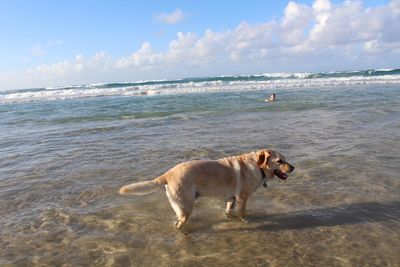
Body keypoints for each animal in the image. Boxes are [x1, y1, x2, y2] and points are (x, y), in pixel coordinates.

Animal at [119, 150, 294, 229]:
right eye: (280, 161)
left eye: (285, 159)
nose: (293, 167)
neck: (258, 167)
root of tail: (167, 174)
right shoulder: (242, 199)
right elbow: (242, 214)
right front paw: (245, 221)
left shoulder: (232, 199)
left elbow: (229, 210)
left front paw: (229, 217)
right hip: (186, 206)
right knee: (179, 223)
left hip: (182, 207)